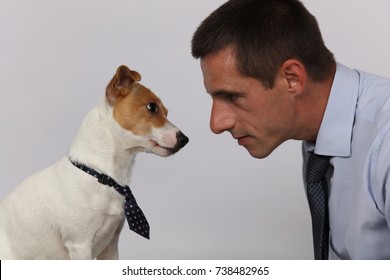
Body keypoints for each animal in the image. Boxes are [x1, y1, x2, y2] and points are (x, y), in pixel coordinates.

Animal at [0, 64, 189, 260]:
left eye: (166, 112)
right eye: (151, 107)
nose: (185, 139)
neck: (102, 174)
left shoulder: (111, 245)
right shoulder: (80, 245)